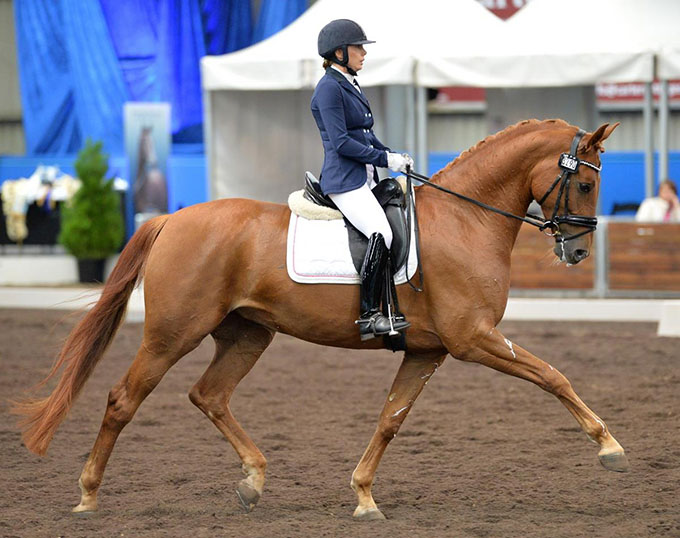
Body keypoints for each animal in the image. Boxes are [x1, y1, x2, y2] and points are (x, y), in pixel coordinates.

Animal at [14, 119, 626, 521]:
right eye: (587, 182)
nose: (576, 252)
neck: (465, 218)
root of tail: (171, 219)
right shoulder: (473, 339)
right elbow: (553, 376)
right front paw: (609, 448)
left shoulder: (428, 350)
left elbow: (390, 419)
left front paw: (363, 496)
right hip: (172, 335)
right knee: (123, 400)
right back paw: (88, 494)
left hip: (247, 334)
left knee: (209, 395)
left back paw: (253, 482)